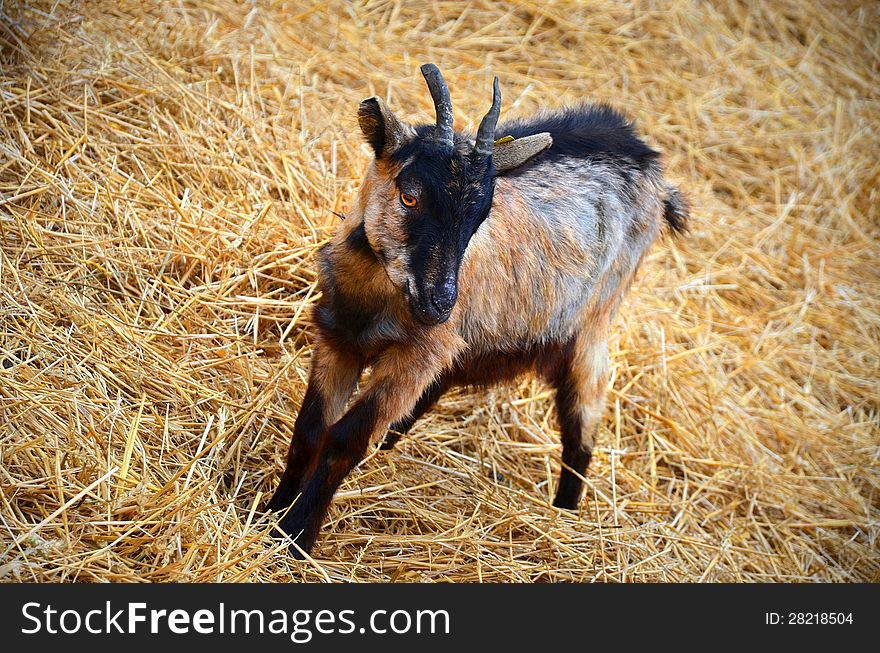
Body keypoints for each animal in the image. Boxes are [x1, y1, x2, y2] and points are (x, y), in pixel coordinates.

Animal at [264, 63, 692, 556]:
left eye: (479, 216)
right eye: (409, 196)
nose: (439, 303)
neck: (378, 296)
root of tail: (649, 163)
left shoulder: (414, 357)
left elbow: (343, 441)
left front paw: (295, 537)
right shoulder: (339, 338)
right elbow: (310, 430)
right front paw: (269, 514)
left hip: (590, 325)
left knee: (584, 414)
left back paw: (565, 514)